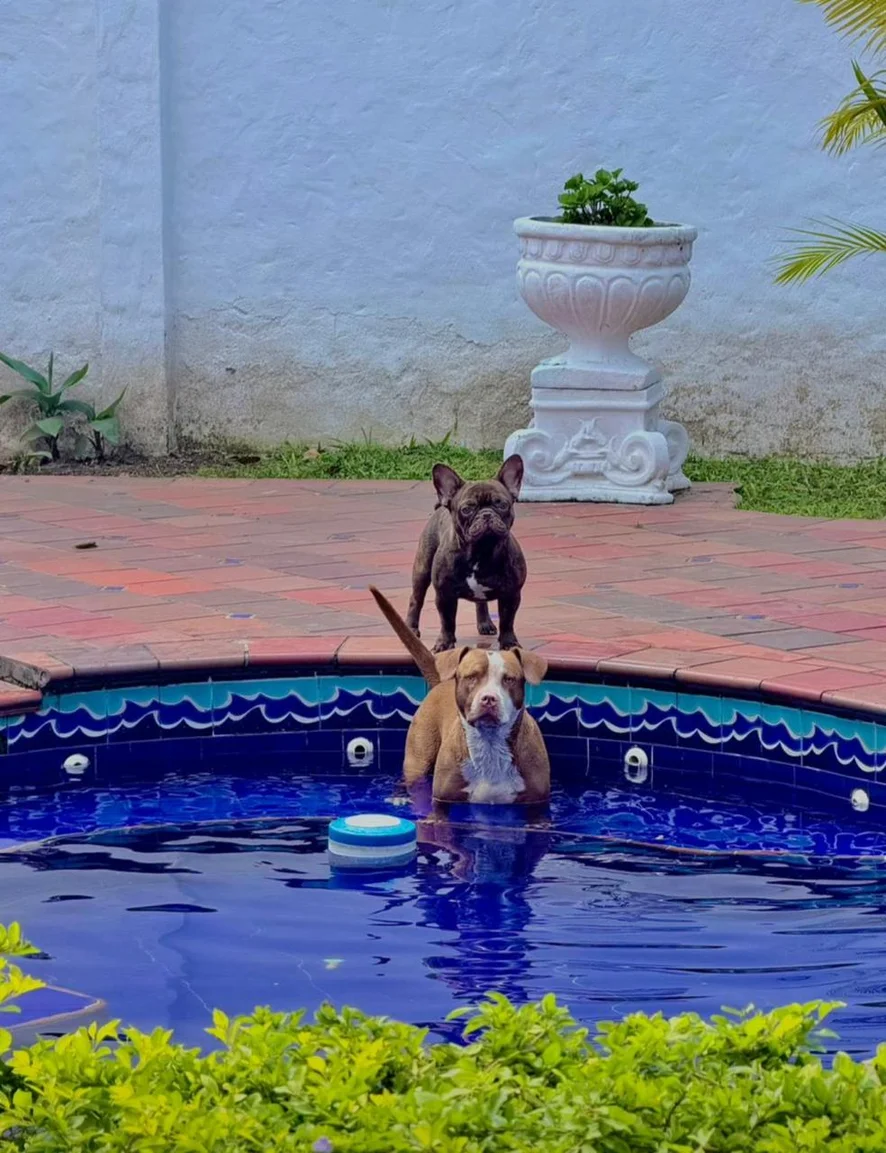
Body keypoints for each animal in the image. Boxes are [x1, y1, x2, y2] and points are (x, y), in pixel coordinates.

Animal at [369, 586, 550, 804]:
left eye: (509, 679)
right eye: (471, 676)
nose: (489, 699)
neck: (490, 746)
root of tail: (441, 682)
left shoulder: (536, 803)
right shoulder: (443, 800)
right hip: (418, 759)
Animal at [406, 455, 526, 652]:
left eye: (502, 505)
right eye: (467, 509)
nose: (486, 514)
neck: (481, 551)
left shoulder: (511, 593)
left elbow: (507, 621)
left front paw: (509, 643)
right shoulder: (444, 595)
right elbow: (447, 622)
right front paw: (444, 643)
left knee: (481, 603)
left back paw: (485, 623)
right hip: (422, 570)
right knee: (416, 599)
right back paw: (410, 628)